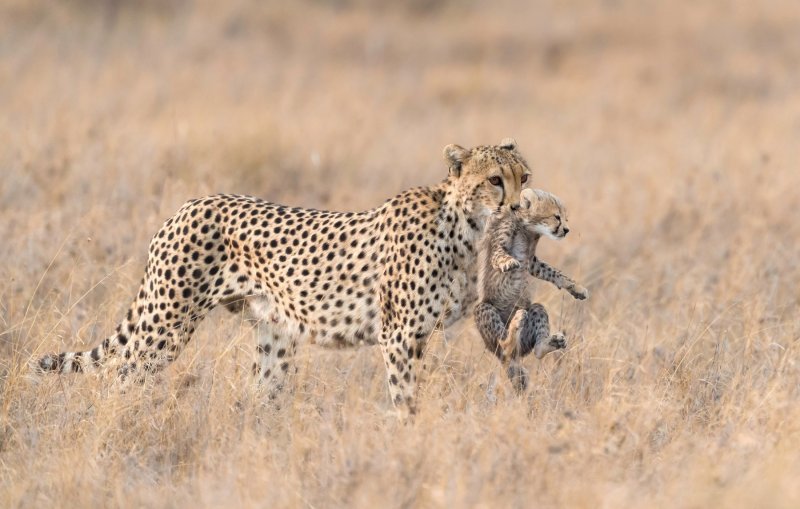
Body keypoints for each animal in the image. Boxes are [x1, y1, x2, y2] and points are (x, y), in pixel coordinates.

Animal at [40, 138, 536, 416]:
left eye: (524, 177)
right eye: (495, 180)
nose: (518, 207)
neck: (466, 226)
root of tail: (189, 204)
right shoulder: (398, 336)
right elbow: (406, 398)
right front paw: (410, 440)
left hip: (274, 336)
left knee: (261, 394)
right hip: (166, 325)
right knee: (120, 376)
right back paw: (116, 424)